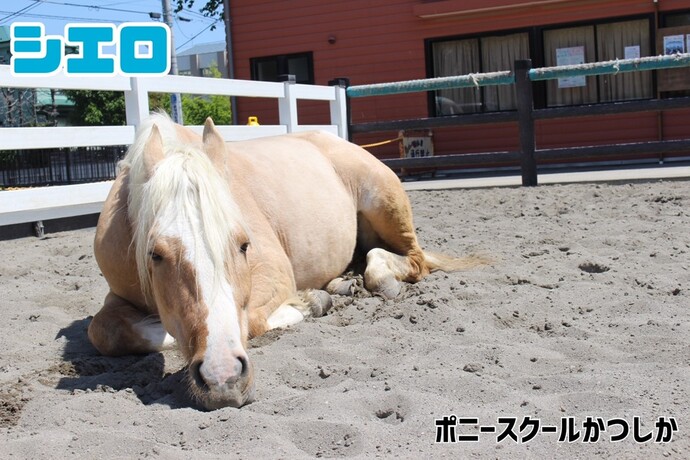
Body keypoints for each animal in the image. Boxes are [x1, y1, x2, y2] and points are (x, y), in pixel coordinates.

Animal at [88, 113, 483, 410]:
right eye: (155, 254)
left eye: (244, 244)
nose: (223, 377)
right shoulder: (117, 296)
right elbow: (104, 332)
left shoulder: (274, 277)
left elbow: (253, 318)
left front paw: (308, 303)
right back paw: (342, 284)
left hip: (385, 204)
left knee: (409, 260)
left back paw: (374, 281)